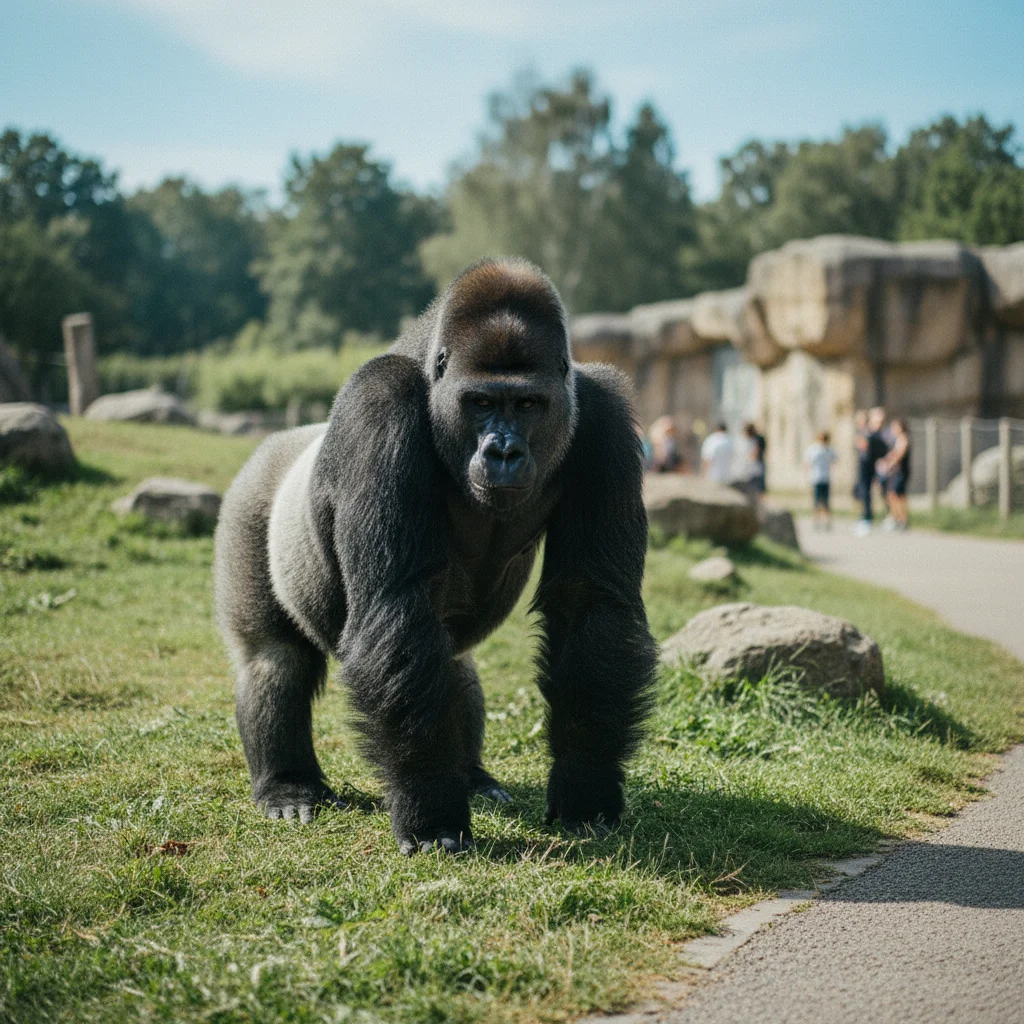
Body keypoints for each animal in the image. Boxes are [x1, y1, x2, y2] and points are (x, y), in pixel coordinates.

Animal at [214, 258, 657, 855]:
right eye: (481, 403)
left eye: (527, 404)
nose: (504, 451)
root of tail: (274, 442)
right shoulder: (379, 404)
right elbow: (394, 606)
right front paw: (430, 811)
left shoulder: (604, 417)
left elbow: (590, 607)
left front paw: (585, 787)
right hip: (248, 503)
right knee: (274, 658)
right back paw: (288, 785)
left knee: (452, 662)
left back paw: (470, 776)